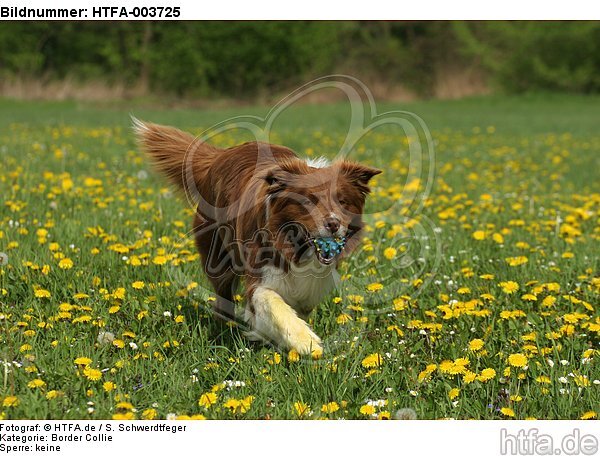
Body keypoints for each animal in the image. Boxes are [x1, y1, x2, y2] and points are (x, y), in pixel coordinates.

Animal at [135, 120, 380, 356]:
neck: (295, 246)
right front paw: (305, 342)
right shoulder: (259, 276)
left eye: (342, 201)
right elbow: (273, 304)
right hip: (217, 257)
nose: (333, 224)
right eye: (309, 200)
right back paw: (224, 328)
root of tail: (222, 154)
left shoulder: (311, 287)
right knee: (223, 295)